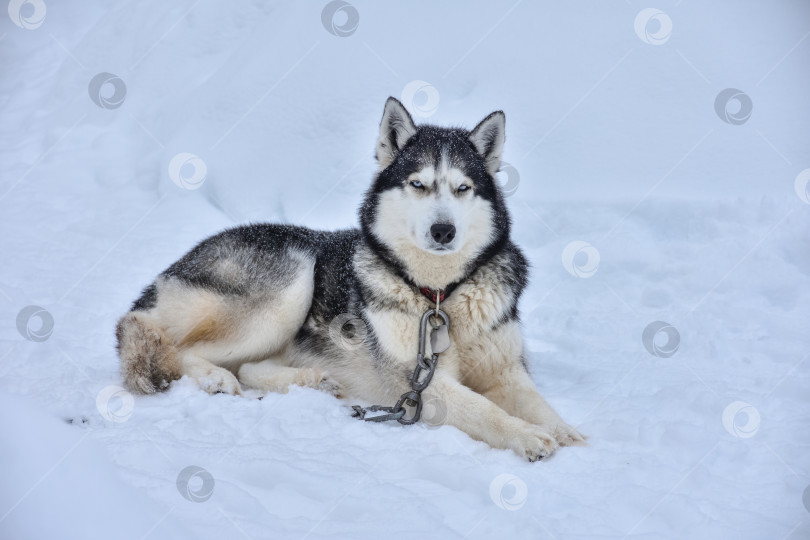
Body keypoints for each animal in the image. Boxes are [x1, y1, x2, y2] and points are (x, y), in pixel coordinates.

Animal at [117, 98, 584, 460]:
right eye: (418, 184)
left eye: (463, 188)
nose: (443, 231)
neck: (438, 296)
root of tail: (173, 269)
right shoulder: (419, 384)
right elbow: (485, 411)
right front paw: (527, 435)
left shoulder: (506, 370)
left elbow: (535, 401)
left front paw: (564, 431)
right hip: (291, 283)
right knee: (185, 350)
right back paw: (217, 378)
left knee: (250, 366)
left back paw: (313, 381)